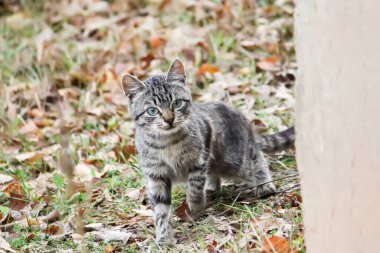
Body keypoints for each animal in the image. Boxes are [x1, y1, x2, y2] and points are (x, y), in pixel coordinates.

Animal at [121, 58, 294, 243]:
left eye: (177, 103)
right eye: (152, 111)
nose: (169, 119)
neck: (167, 142)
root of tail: (242, 118)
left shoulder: (199, 160)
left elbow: (195, 187)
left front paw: (195, 206)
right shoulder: (155, 174)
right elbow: (161, 209)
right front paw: (164, 238)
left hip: (235, 160)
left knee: (256, 156)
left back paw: (265, 186)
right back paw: (212, 189)